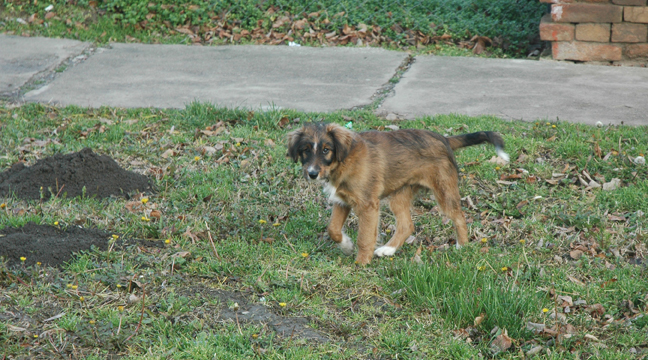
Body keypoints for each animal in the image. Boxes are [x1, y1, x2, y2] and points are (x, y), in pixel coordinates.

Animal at [286, 122, 508, 266]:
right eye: (305, 150)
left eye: (326, 150)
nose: (312, 174)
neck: (343, 161)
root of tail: (443, 138)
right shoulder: (342, 201)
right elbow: (332, 229)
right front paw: (347, 246)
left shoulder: (368, 205)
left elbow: (365, 237)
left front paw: (361, 263)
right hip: (399, 194)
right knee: (407, 225)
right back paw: (388, 249)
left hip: (443, 191)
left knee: (459, 217)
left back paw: (462, 246)